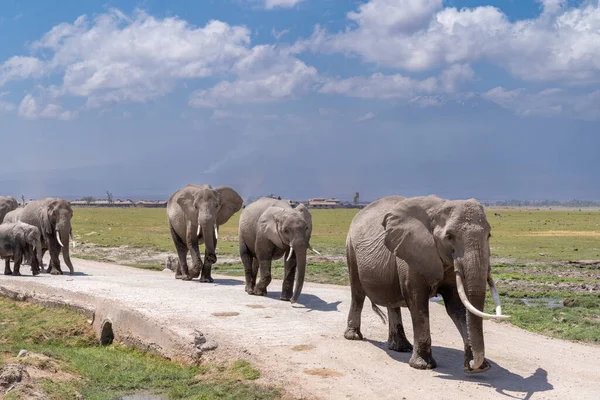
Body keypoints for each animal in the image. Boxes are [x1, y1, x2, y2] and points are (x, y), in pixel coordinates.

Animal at [344, 195, 508, 374]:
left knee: (391, 302)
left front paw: (479, 367)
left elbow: (457, 306)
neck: (438, 207)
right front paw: (422, 366)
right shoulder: (411, 254)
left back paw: (401, 348)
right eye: (449, 237)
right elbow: (418, 303)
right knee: (358, 293)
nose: (473, 365)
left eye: (489, 235)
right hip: (351, 249)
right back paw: (353, 337)